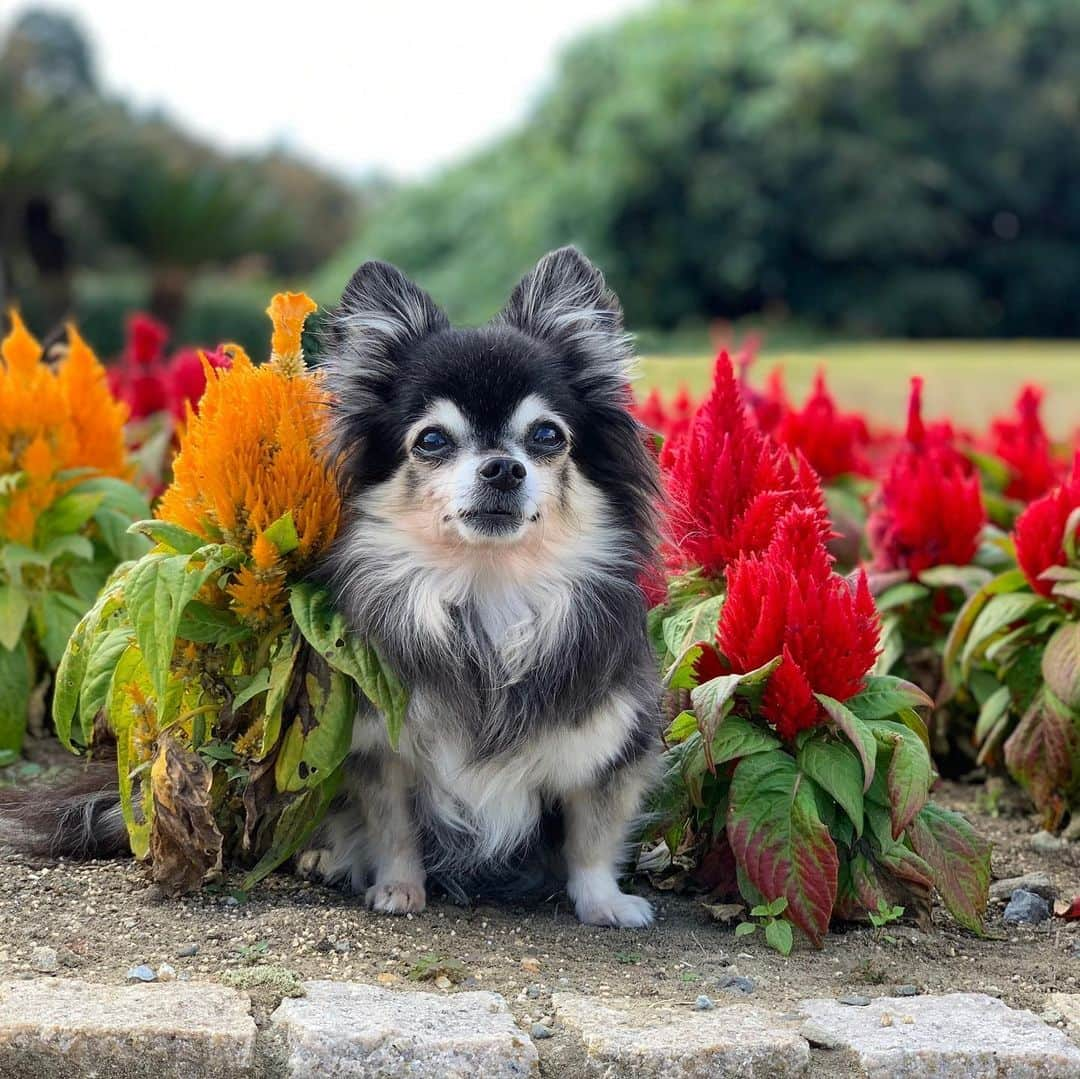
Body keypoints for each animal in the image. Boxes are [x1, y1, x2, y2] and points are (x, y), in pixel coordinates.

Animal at [0, 247, 660, 928]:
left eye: (548, 435)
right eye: (432, 440)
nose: (503, 468)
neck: (486, 593)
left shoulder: (611, 744)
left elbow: (592, 832)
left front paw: (604, 901)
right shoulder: (376, 752)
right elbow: (393, 828)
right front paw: (399, 888)